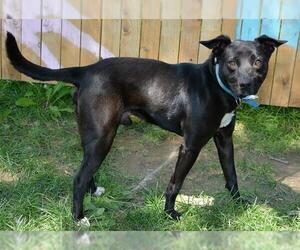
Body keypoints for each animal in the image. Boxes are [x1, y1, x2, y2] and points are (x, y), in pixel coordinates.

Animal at [5, 31, 284, 225]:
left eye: (258, 62)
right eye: (232, 63)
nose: (246, 85)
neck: (215, 85)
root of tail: (86, 71)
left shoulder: (225, 139)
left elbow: (231, 175)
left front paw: (238, 203)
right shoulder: (190, 146)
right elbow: (175, 184)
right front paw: (169, 213)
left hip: (94, 135)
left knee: (85, 169)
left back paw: (94, 191)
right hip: (104, 136)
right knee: (78, 177)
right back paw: (78, 218)